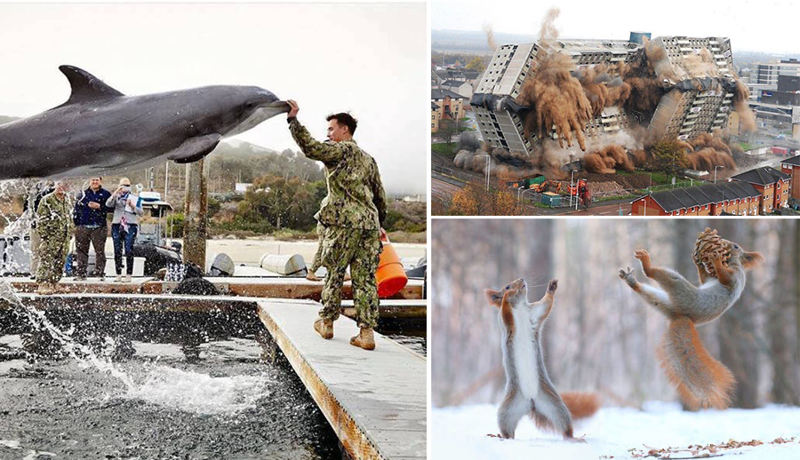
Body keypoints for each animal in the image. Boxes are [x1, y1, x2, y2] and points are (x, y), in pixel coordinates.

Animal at [482, 278, 600, 440]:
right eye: (506, 286)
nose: (521, 280)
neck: (519, 307)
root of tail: (531, 403)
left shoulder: (534, 314)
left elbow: (546, 305)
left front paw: (552, 287)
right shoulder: (505, 322)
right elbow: (506, 312)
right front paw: (506, 296)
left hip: (555, 405)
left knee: (564, 425)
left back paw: (574, 438)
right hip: (507, 410)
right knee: (508, 430)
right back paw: (500, 436)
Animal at [620, 244, 764, 410]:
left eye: (735, 246)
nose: (727, 244)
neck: (733, 263)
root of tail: (681, 316)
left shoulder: (735, 276)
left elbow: (725, 278)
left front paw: (715, 261)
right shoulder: (712, 278)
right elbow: (704, 279)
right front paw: (699, 264)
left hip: (681, 290)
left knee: (657, 275)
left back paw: (646, 264)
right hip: (663, 302)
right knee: (650, 296)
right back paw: (631, 281)